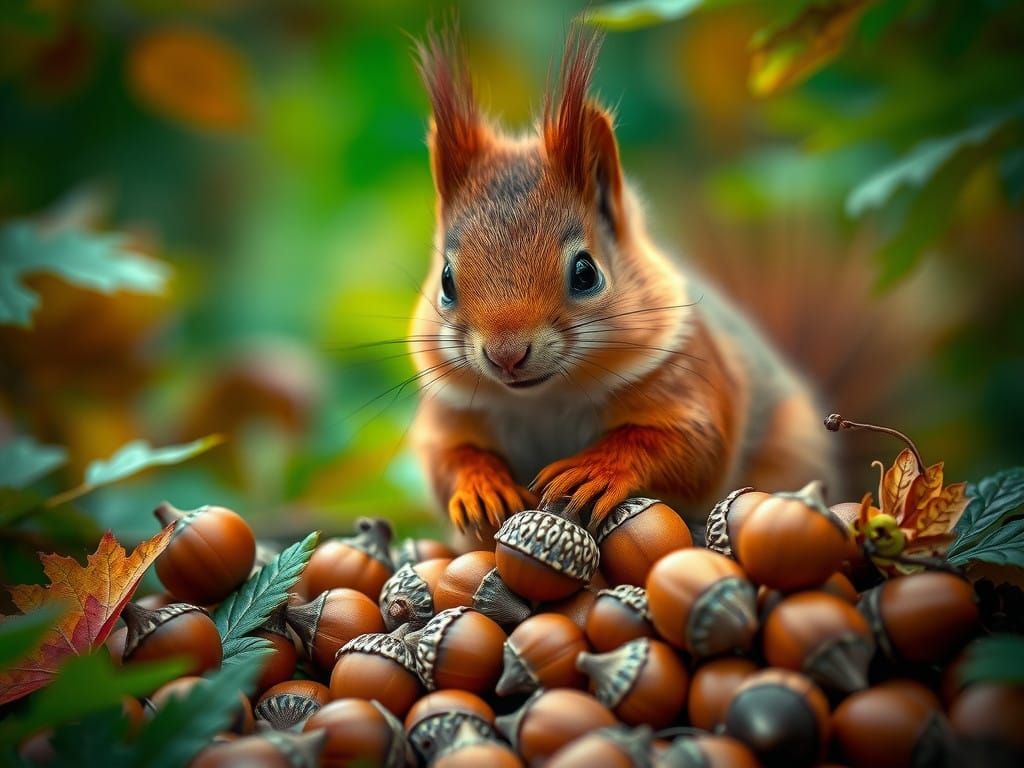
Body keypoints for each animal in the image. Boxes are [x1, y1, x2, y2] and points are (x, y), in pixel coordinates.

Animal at [407, 27, 838, 542]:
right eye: (446, 281)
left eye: (586, 273)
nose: (506, 354)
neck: (545, 398)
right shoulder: (449, 407)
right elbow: (445, 457)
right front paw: (481, 484)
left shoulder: (689, 377)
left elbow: (690, 447)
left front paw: (594, 469)